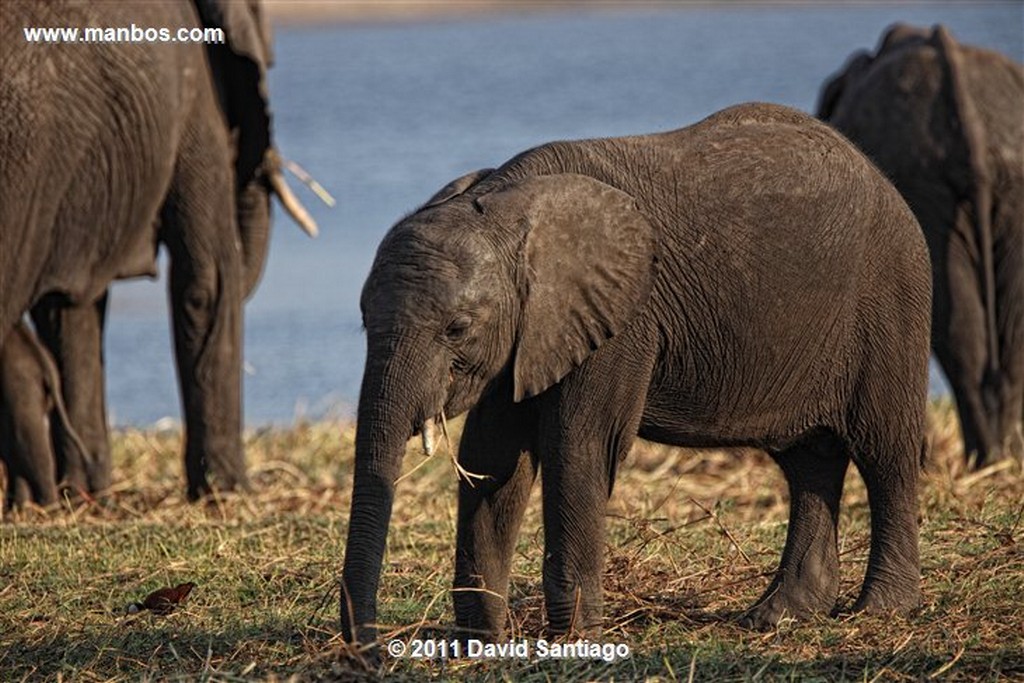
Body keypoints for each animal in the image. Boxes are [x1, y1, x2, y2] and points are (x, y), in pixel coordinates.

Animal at [339, 102, 933, 647]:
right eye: (363, 318)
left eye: (458, 328)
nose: (365, 647)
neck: (506, 204)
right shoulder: (532, 331)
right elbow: (494, 457)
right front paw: (480, 644)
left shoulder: (621, 320)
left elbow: (578, 447)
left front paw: (574, 641)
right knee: (808, 463)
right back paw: (778, 617)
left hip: (889, 298)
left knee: (885, 452)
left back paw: (881, 609)